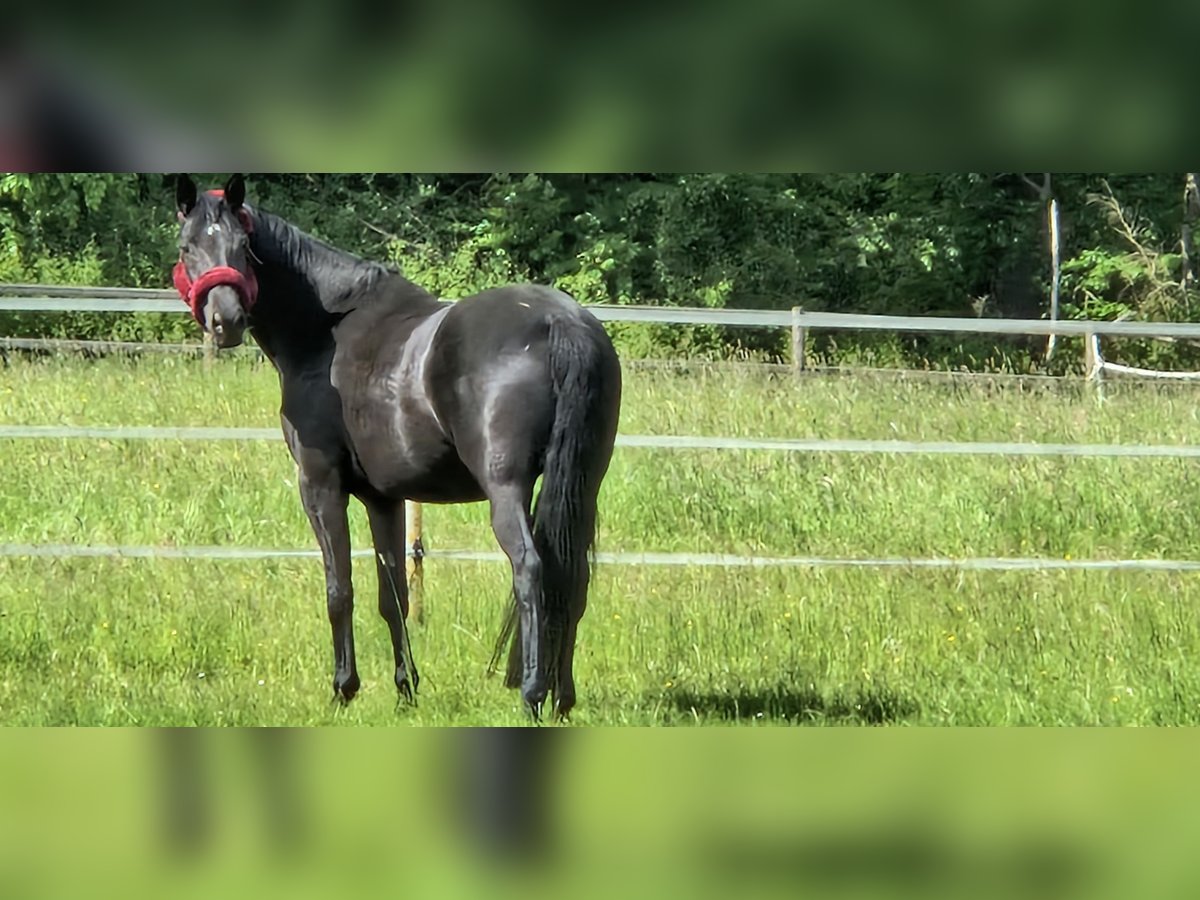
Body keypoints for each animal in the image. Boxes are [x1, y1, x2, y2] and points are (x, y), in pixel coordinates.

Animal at [174, 174, 624, 720]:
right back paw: (562, 698)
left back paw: (533, 695)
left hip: (507, 489)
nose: (227, 321)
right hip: (584, 484)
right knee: (571, 577)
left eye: (243, 247)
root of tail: (560, 322)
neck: (326, 332)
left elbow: (340, 588)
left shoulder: (320, 485)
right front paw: (406, 689)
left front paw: (344, 688)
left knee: (531, 569)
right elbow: (394, 596)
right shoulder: (383, 499)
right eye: (188, 246)